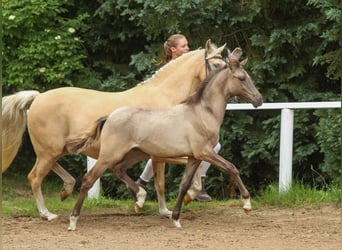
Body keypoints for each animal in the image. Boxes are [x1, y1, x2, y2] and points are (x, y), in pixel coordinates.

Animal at [3, 39, 227, 221]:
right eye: (216, 65)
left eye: (225, 65)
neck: (166, 97)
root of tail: (38, 97)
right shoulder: (163, 153)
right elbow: (168, 180)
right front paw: (178, 201)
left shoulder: (163, 153)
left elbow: (163, 182)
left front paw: (163, 208)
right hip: (50, 150)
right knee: (34, 177)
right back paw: (47, 214)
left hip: (56, 149)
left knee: (49, 170)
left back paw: (66, 190)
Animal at [67, 47, 264, 230]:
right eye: (241, 78)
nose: (259, 99)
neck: (202, 112)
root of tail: (109, 116)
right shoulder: (205, 152)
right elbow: (232, 168)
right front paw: (247, 204)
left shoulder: (194, 157)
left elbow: (184, 185)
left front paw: (176, 218)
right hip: (109, 155)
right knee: (89, 179)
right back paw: (73, 220)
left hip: (135, 153)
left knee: (118, 169)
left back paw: (140, 198)